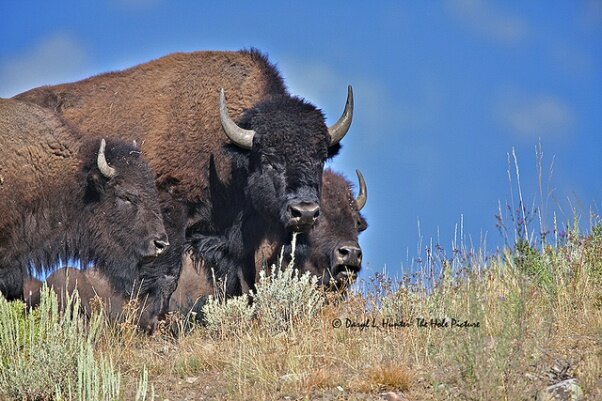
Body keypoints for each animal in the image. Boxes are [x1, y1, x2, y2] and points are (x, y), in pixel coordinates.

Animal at [15, 48, 352, 300]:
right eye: (269, 159)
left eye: (321, 159)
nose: (305, 211)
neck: (228, 145)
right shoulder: (170, 216)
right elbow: (166, 273)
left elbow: (241, 279)